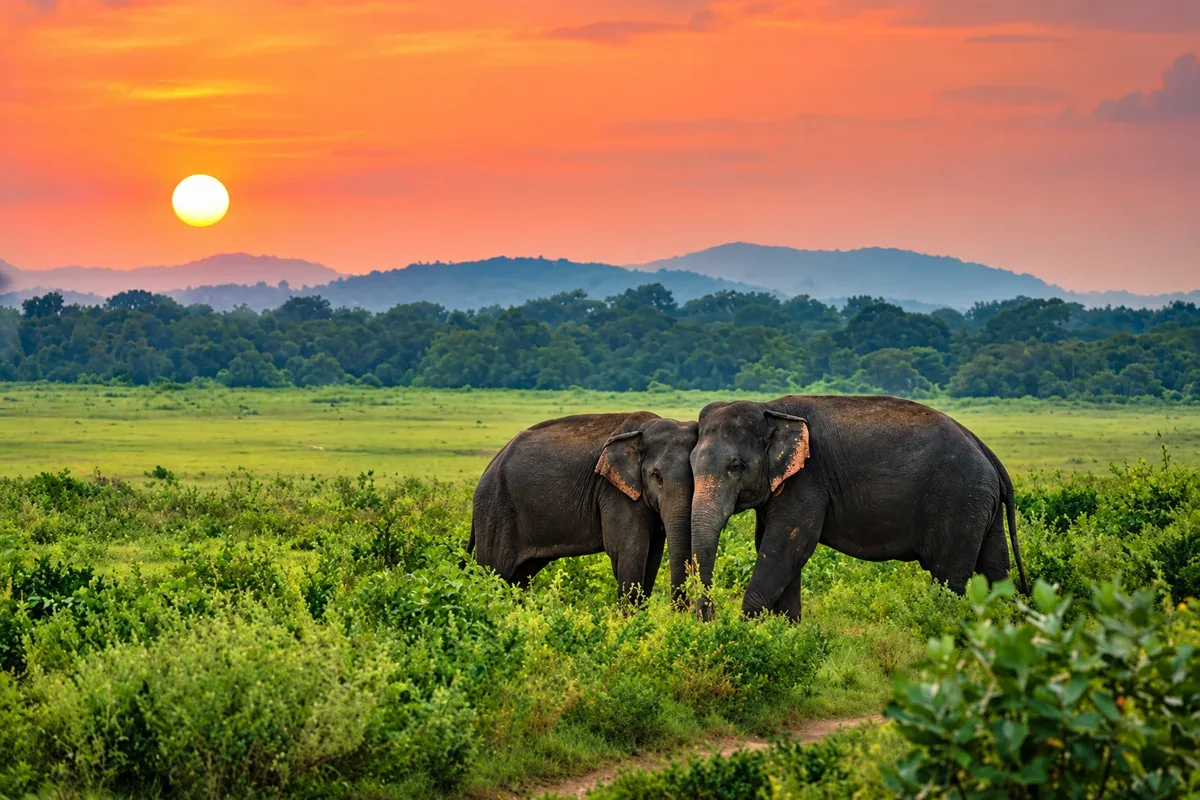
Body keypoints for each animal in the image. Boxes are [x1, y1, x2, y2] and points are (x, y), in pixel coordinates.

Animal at [470, 412, 698, 604]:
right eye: (657, 476)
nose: (678, 612)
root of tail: (489, 467)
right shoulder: (613, 491)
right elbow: (629, 550)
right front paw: (628, 621)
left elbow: (653, 556)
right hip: (495, 509)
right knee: (495, 571)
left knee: (519, 577)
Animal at [688, 395, 1029, 621]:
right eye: (690, 464)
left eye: (736, 466)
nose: (709, 618)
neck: (769, 408)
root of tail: (984, 448)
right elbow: (775, 548)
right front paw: (785, 632)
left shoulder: (807, 482)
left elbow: (785, 548)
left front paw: (746, 630)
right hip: (982, 505)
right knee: (995, 568)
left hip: (960, 501)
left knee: (948, 575)